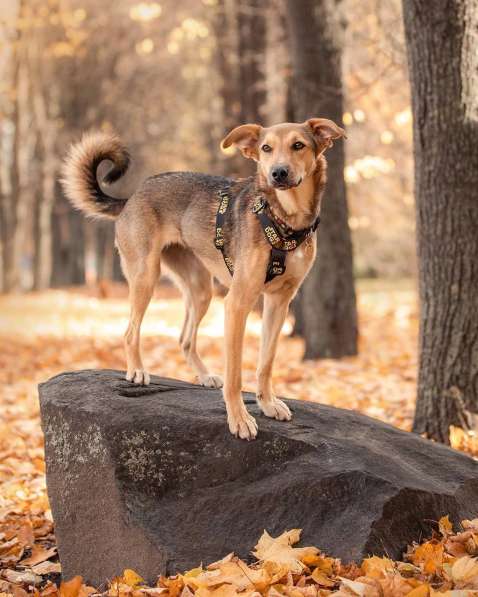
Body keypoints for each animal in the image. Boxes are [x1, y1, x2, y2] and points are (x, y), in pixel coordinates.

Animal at [61, 118, 346, 440]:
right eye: (266, 148)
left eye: (298, 145)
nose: (278, 173)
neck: (284, 220)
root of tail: (131, 197)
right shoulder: (237, 303)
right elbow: (235, 374)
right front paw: (239, 419)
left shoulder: (279, 302)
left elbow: (266, 362)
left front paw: (268, 403)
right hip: (146, 276)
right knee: (130, 331)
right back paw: (137, 371)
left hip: (200, 290)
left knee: (185, 339)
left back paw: (205, 375)